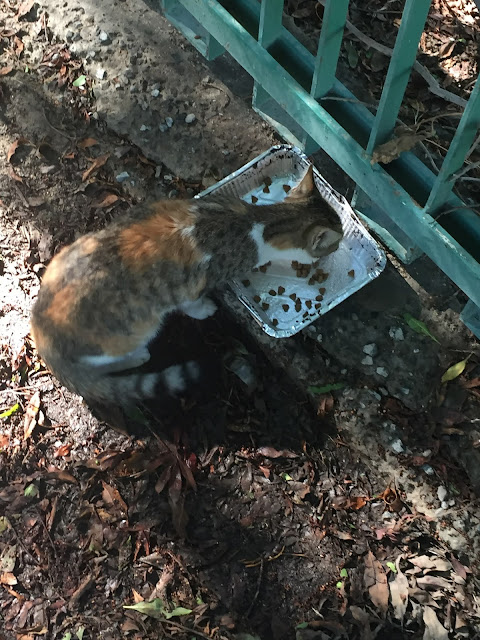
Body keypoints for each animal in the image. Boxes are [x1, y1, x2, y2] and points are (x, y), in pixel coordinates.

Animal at [31, 165, 344, 407]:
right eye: (335, 243)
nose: (337, 250)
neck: (256, 222)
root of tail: (41, 336)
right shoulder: (192, 284)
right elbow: (190, 302)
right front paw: (204, 309)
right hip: (134, 328)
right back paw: (137, 356)